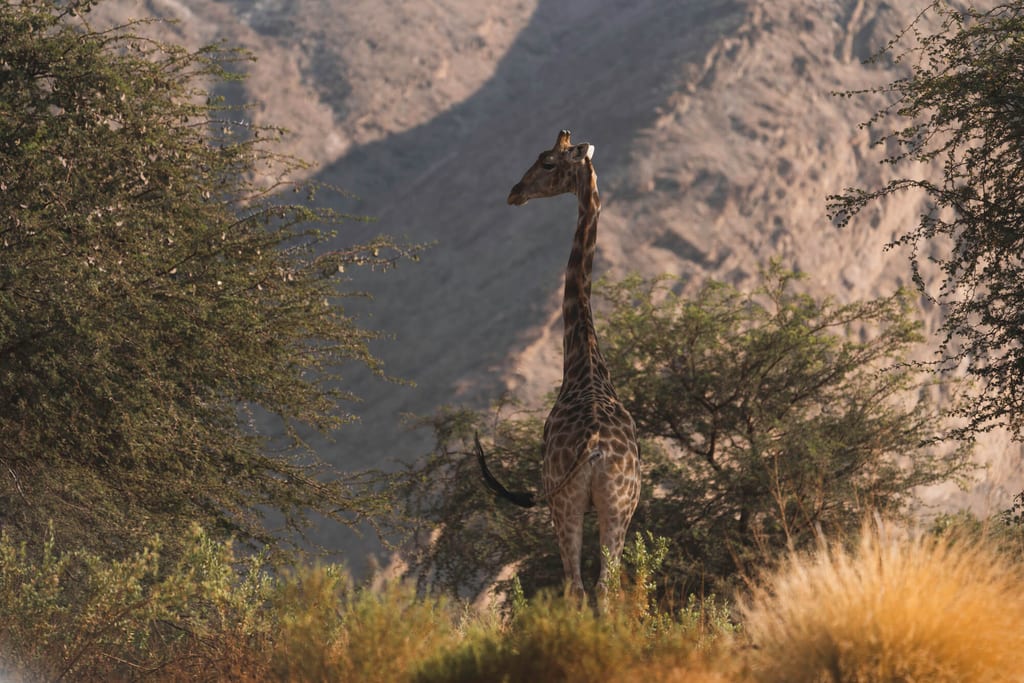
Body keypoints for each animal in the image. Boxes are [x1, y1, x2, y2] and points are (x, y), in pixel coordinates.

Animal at [477, 129, 642, 602]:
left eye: (548, 162)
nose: (515, 192)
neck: (583, 359)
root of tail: (596, 449)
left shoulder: (557, 499)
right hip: (618, 507)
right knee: (606, 586)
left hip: (565, 506)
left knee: (578, 587)